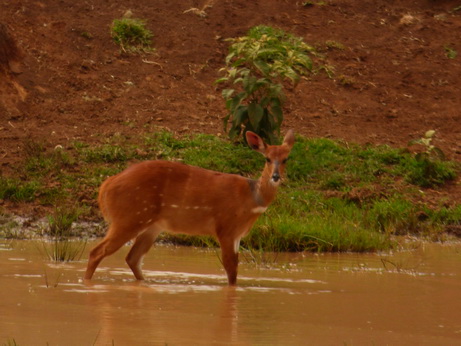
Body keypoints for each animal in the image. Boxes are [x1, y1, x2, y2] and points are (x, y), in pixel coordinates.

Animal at [85, 131, 294, 286]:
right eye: (267, 158)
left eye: (285, 159)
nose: (276, 177)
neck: (251, 201)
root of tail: (106, 186)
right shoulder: (226, 228)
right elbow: (230, 269)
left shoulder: (237, 234)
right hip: (129, 218)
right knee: (97, 252)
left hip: (152, 225)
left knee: (132, 258)